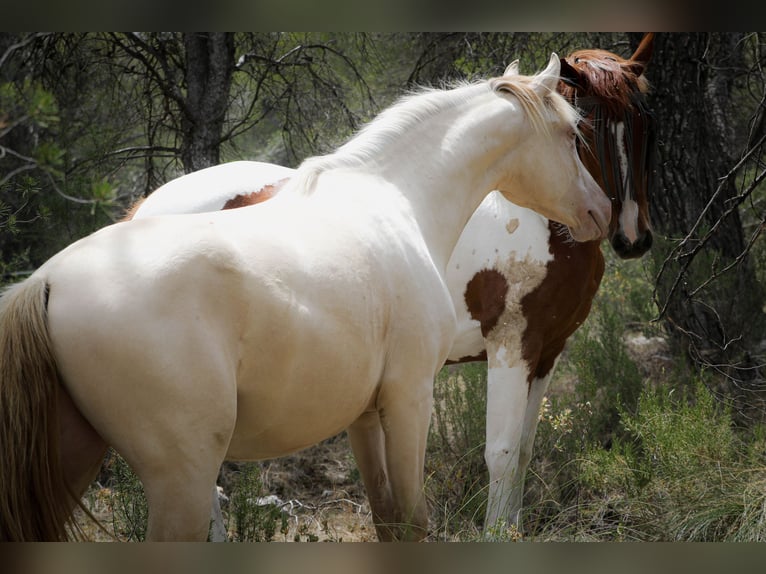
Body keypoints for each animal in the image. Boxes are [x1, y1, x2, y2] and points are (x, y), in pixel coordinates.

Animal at [0, 55, 611, 541]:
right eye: (571, 133)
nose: (600, 212)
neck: (399, 200)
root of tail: (47, 282)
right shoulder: (410, 396)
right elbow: (413, 520)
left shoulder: (365, 415)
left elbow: (387, 519)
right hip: (181, 477)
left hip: (72, 462)